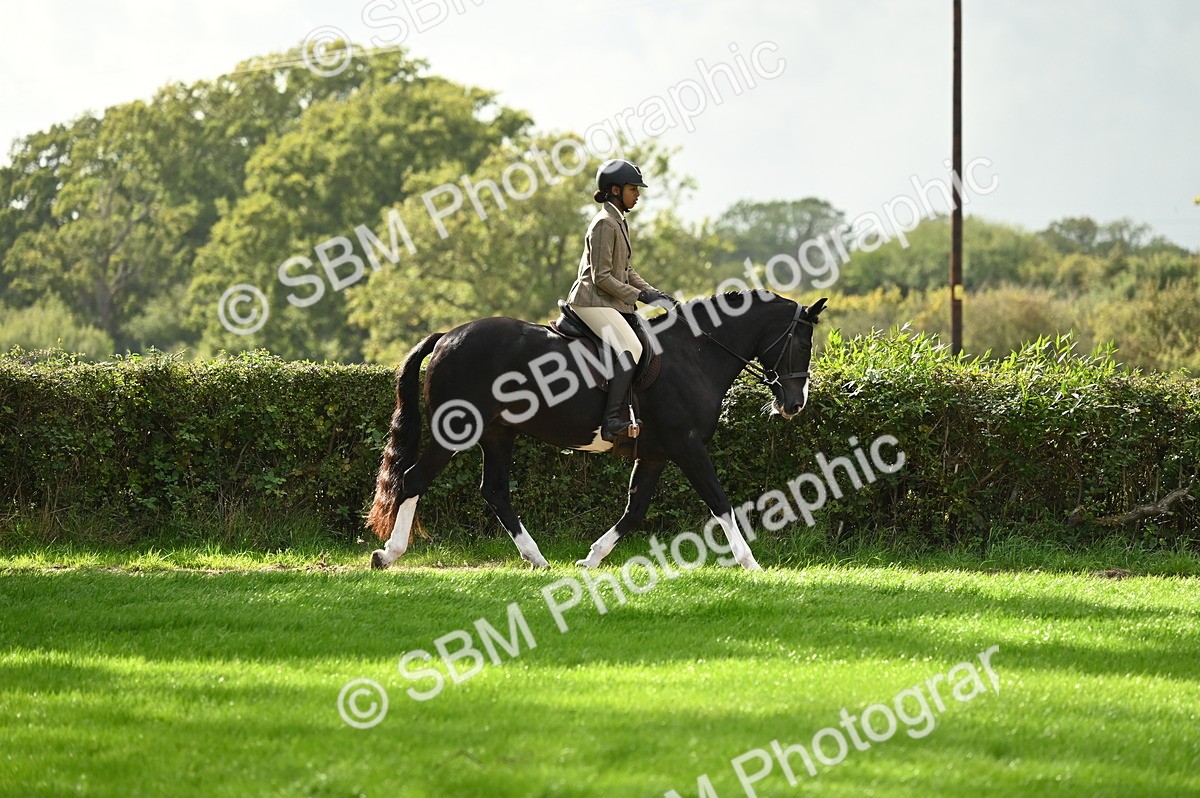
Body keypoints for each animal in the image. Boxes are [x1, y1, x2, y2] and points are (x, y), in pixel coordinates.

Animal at [366, 291, 828, 571]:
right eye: (803, 344)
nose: (794, 405)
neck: (695, 354)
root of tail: (448, 337)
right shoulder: (688, 447)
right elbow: (720, 503)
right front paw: (750, 562)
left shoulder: (656, 453)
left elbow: (635, 509)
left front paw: (591, 558)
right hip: (457, 431)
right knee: (413, 480)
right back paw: (389, 554)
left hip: (498, 433)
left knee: (494, 490)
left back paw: (537, 558)